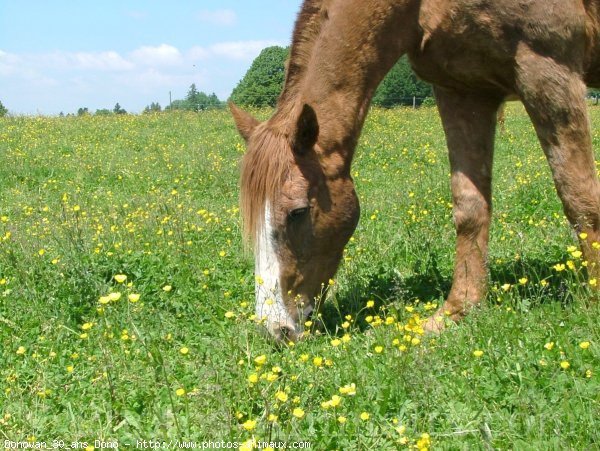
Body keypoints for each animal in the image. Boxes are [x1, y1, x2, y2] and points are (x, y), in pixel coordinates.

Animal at [230, 0, 600, 340]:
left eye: (298, 212)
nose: (274, 329)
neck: (416, 9)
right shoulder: (462, 91)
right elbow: (470, 209)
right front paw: (456, 312)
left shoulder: (546, 70)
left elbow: (580, 198)